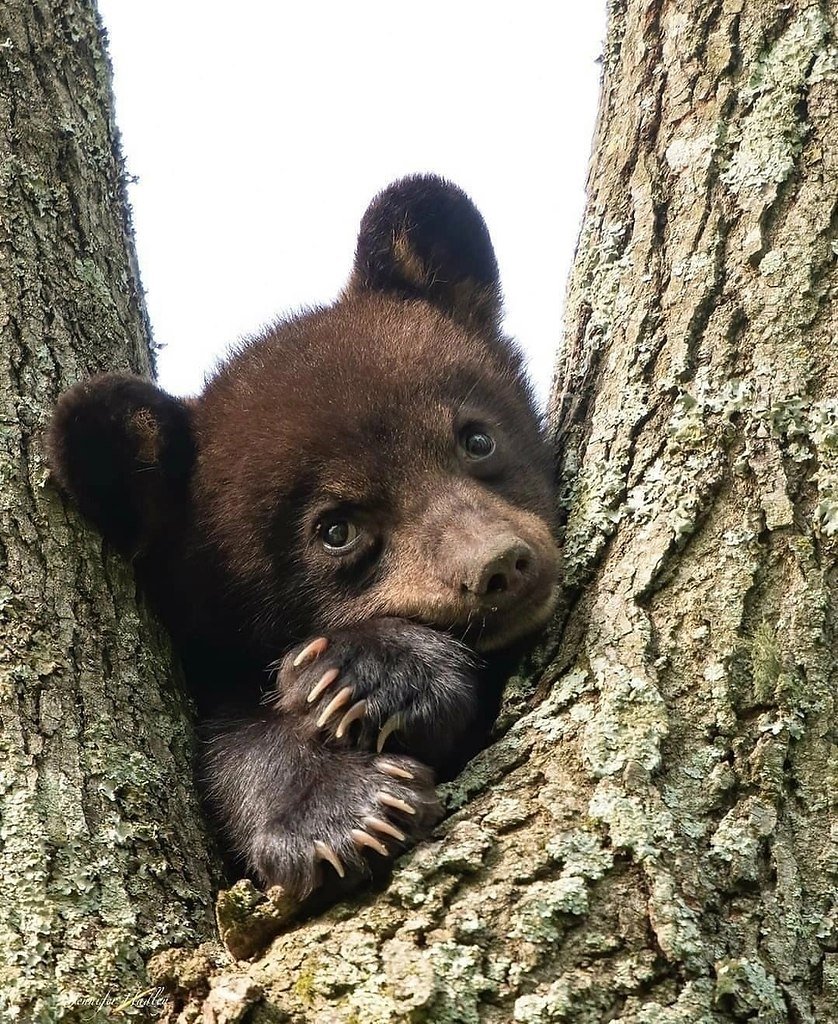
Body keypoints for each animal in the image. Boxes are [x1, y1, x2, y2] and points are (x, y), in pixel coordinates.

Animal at [49, 175, 560, 900]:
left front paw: (367, 671)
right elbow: (228, 735)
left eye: (477, 439)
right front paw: (339, 807)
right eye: (335, 529)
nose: (498, 564)